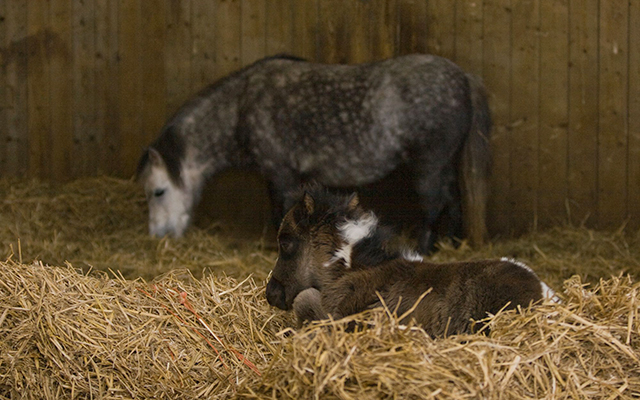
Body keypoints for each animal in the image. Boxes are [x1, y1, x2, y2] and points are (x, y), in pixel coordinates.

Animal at [135, 53, 492, 252]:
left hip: (428, 164)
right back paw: (452, 244)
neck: (240, 108)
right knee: (453, 199)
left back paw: (424, 248)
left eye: (158, 191)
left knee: (433, 204)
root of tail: (463, 78)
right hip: (442, 164)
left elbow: (282, 212)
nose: (158, 236)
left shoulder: (281, 175)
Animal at [265, 185, 558, 336]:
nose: (271, 293)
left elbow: (304, 301)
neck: (349, 268)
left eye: (285, 241)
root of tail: (545, 295)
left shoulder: (338, 315)